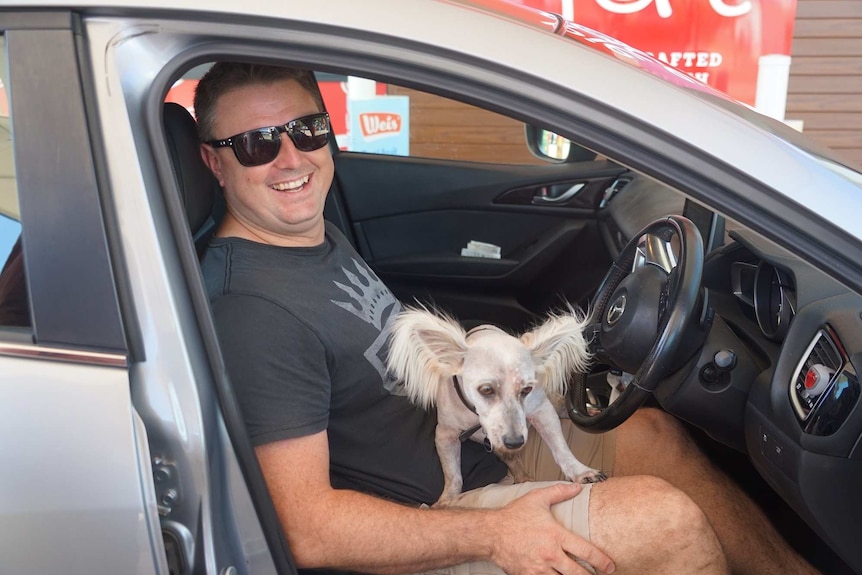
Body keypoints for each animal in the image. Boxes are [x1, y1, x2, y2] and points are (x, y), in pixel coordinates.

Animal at [388, 306, 604, 504]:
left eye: (526, 389)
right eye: (486, 390)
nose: (515, 442)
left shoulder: (543, 411)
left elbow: (561, 449)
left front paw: (580, 471)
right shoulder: (444, 435)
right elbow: (453, 475)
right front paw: (447, 500)